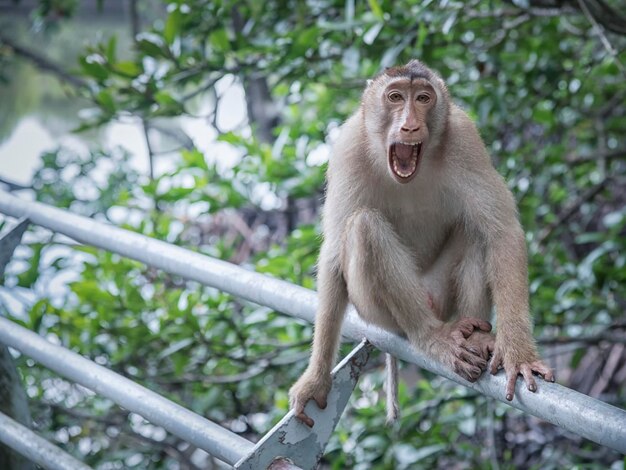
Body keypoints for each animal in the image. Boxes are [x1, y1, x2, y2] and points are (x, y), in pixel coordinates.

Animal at [288, 58, 552, 426]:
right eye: (396, 97)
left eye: (424, 98)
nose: (410, 126)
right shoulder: (347, 149)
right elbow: (333, 253)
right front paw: (315, 380)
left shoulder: (465, 139)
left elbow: (502, 232)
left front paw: (518, 354)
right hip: (378, 314)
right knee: (364, 226)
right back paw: (431, 338)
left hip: (440, 298)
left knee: (476, 230)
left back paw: (477, 334)